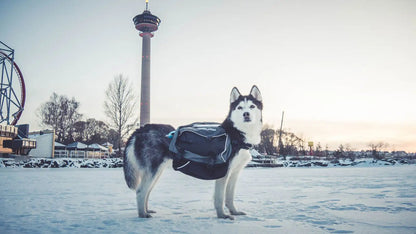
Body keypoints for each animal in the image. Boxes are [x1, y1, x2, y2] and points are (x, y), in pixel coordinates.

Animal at [122, 85, 264, 219]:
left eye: (252, 106)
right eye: (240, 108)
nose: (246, 114)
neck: (237, 135)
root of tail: (140, 129)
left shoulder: (234, 173)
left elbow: (230, 197)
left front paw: (234, 212)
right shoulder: (223, 172)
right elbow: (220, 198)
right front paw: (222, 216)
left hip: (157, 172)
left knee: (147, 191)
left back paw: (147, 210)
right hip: (153, 171)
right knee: (140, 191)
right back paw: (142, 214)